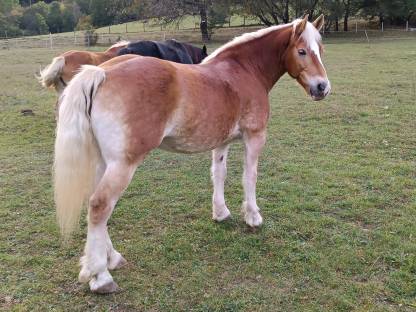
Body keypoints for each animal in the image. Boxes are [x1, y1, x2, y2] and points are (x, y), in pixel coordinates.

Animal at [52, 14, 332, 292]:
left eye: (320, 50)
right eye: (302, 51)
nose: (322, 87)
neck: (244, 71)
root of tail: (102, 72)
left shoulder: (222, 142)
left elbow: (219, 174)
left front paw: (221, 213)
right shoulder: (254, 137)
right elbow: (249, 177)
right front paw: (253, 216)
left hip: (104, 163)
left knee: (96, 204)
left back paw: (111, 258)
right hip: (123, 165)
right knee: (100, 206)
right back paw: (100, 276)